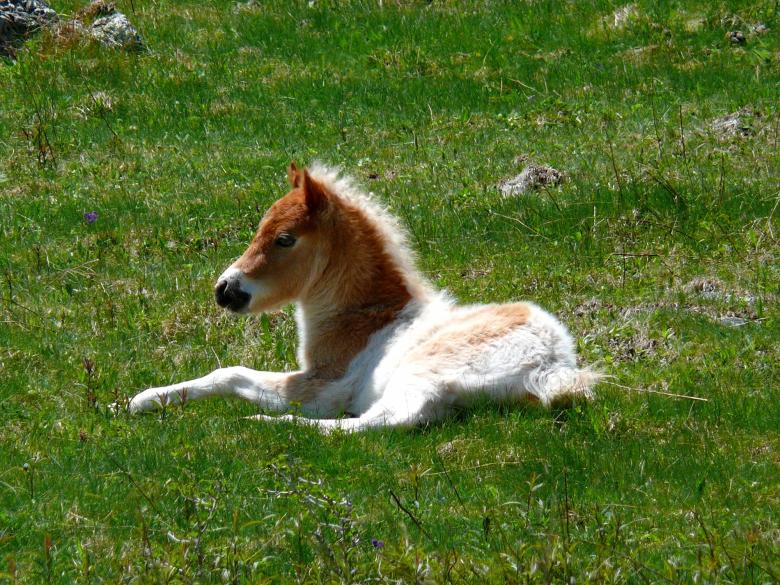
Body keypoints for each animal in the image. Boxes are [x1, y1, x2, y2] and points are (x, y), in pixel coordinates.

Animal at [128, 163, 598, 431]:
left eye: (284, 239)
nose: (225, 290)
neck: (363, 318)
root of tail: (553, 366)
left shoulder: (324, 385)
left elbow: (232, 374)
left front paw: (141, 400)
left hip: (418, 374)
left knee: (383, 422)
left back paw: (266, 423)